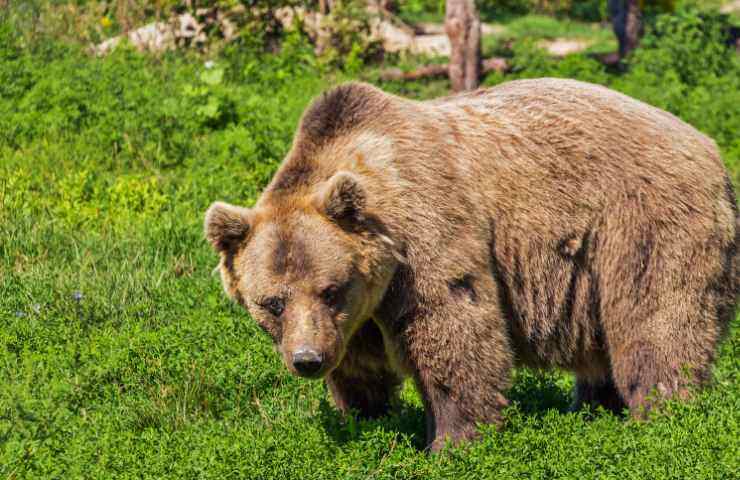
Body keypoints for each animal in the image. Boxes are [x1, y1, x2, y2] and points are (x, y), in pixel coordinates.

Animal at [202, 78, 736, 450]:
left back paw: (663, 414)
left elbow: (453, 329)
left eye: (331, 289)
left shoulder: (424, 236)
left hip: (643, 221)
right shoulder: (358, 315)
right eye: (272, 302)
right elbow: (360, 366)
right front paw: (366, 419)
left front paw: (453, 440)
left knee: (656, 319)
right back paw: (594, 407)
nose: (307, 359)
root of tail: (709, 145)